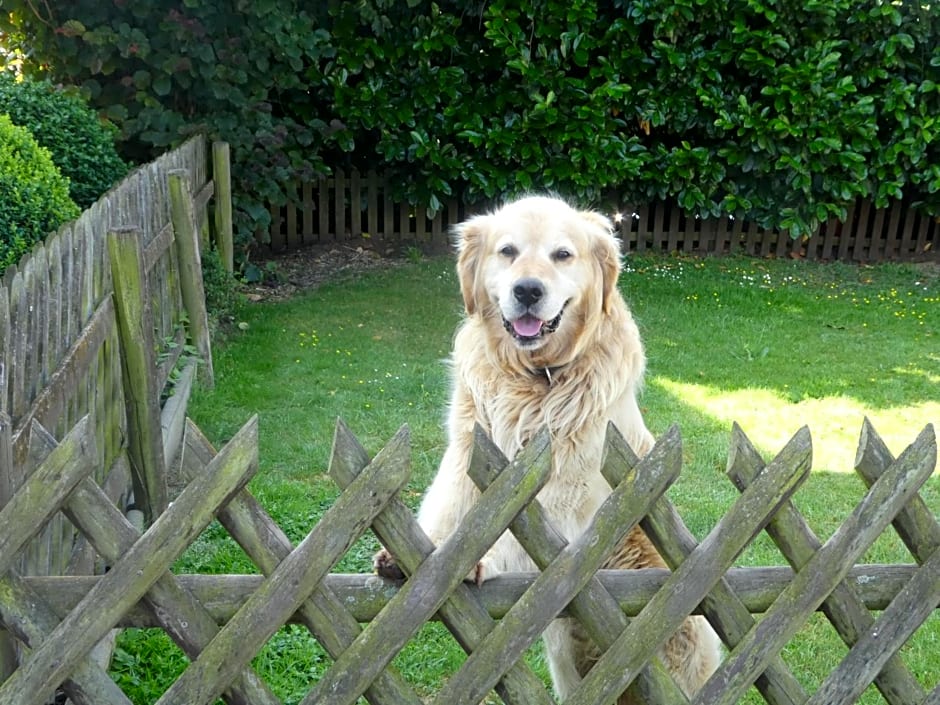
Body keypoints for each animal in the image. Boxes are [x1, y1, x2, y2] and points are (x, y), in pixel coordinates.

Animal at [374, 195, 720, 700]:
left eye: (562, 255)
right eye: (507, 251)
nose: (528, 290)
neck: (537, 377)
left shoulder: (568, 483)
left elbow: (512, 530)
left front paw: (479, 558)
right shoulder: (467, 452)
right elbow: (452, 507)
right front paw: (426, 552)